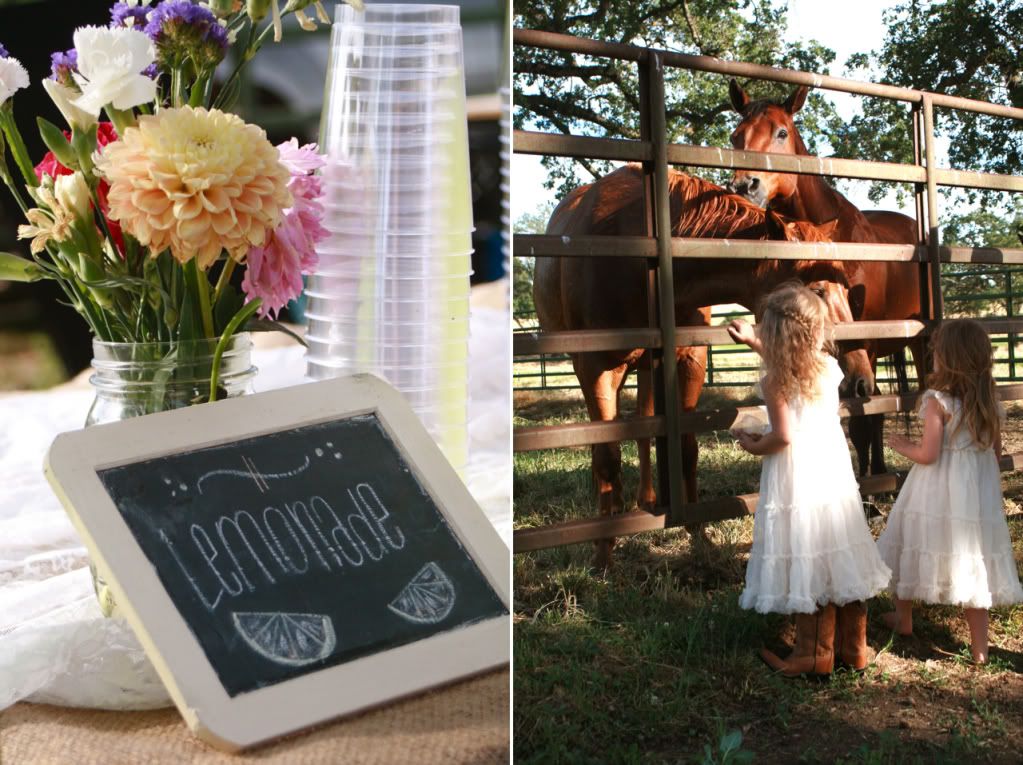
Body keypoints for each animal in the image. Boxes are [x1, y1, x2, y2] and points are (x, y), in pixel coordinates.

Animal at [536, 164, 871, 564]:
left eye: (847, 289)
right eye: (818, 290)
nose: (862, 379)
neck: (650, 261)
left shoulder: (689, 361)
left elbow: (685, 446)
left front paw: (697, 531)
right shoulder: (595, 367)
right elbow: (607, 454)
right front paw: (603, 552)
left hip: (646, 370)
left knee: (644, 426)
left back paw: (646, 500)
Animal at [728, 79, 928, 472]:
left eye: (781, 132)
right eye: (735, 136)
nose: (745, 186)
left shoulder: (863, 341)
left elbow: (866, 414)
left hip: (918, 339)